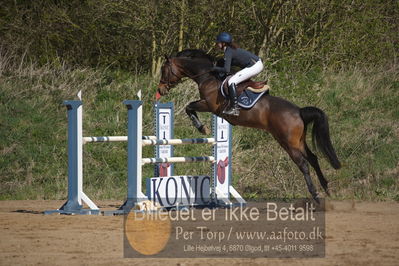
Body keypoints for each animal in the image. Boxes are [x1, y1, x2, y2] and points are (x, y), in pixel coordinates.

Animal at [156, 48, 340, 202]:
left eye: (164, 70)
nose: (160, 90)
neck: (208, 76)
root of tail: (299, 111)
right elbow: (189, 107)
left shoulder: (208, 105)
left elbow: (189, 107)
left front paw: (202, 128)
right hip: (298, 141)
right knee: (313, 158)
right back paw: (326, 188)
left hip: (288, 143)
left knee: (303, 164)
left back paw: (315, 195)